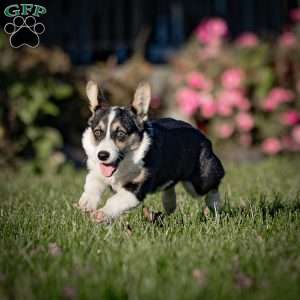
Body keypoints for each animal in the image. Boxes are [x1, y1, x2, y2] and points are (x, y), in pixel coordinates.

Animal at [78, 81, 224, 221]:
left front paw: (102, 214)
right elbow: (92, 183)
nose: (102, 155)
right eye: (97, 132)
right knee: (169, 185)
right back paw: (169, 203)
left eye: (120, 134)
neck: (125, 163)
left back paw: (215, 204)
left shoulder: (136, 189)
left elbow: (116, 200)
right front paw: (86, 203)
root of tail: (200, 133)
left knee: (213, 185)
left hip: (200, 182)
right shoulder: (96, 171)